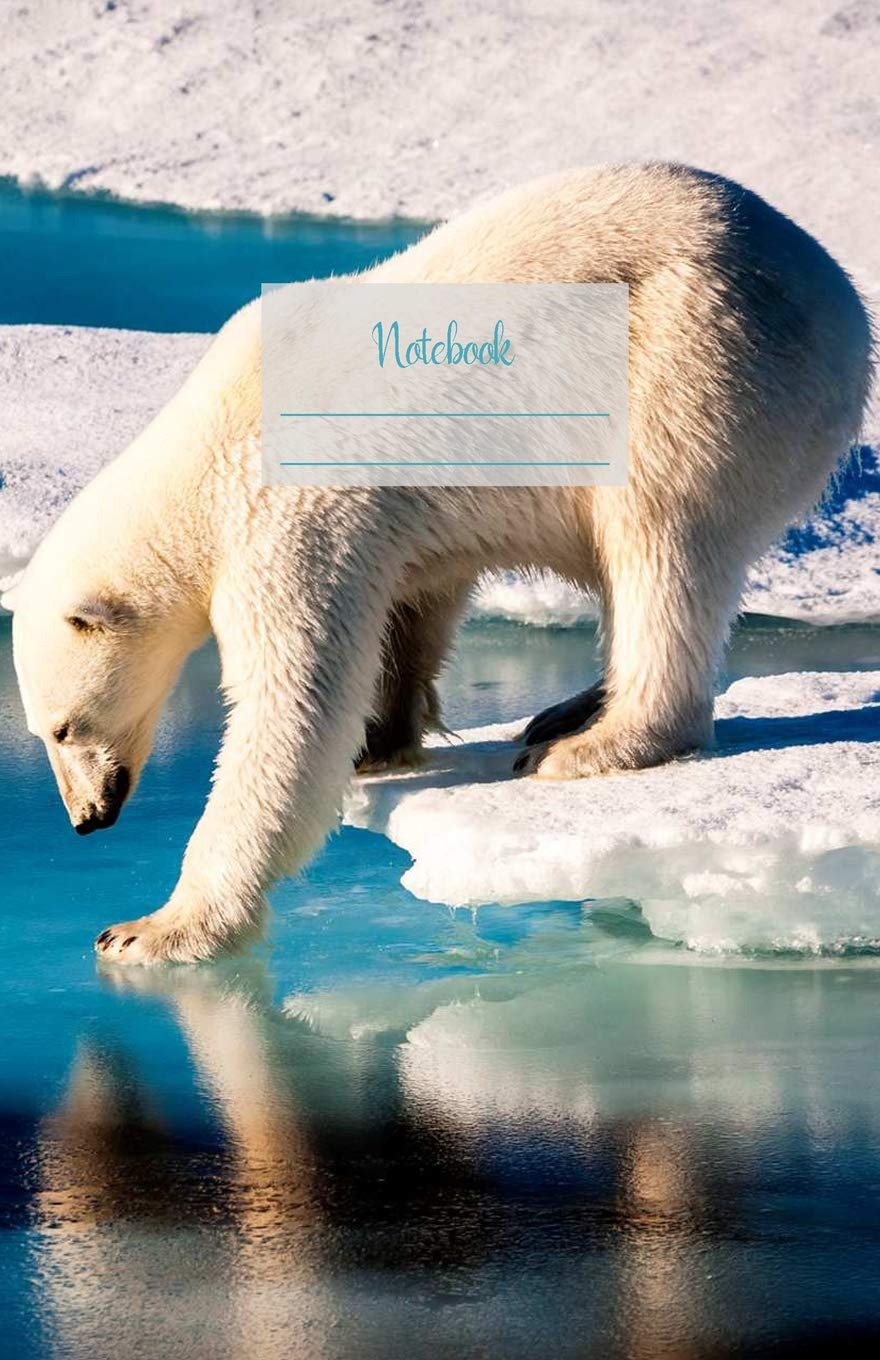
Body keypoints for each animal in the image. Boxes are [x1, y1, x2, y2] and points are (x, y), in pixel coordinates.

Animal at [8, 163, 873, 965]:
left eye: (62, 727)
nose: (86, 820)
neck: (206, 454)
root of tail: (839, 298)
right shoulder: (386, 523)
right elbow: (408, 609)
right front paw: (382, 738)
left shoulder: (287, 513)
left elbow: (292, 706)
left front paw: (152, 928)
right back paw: (570, 709)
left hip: (694, 359)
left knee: (658, 539)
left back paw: (592, 743)